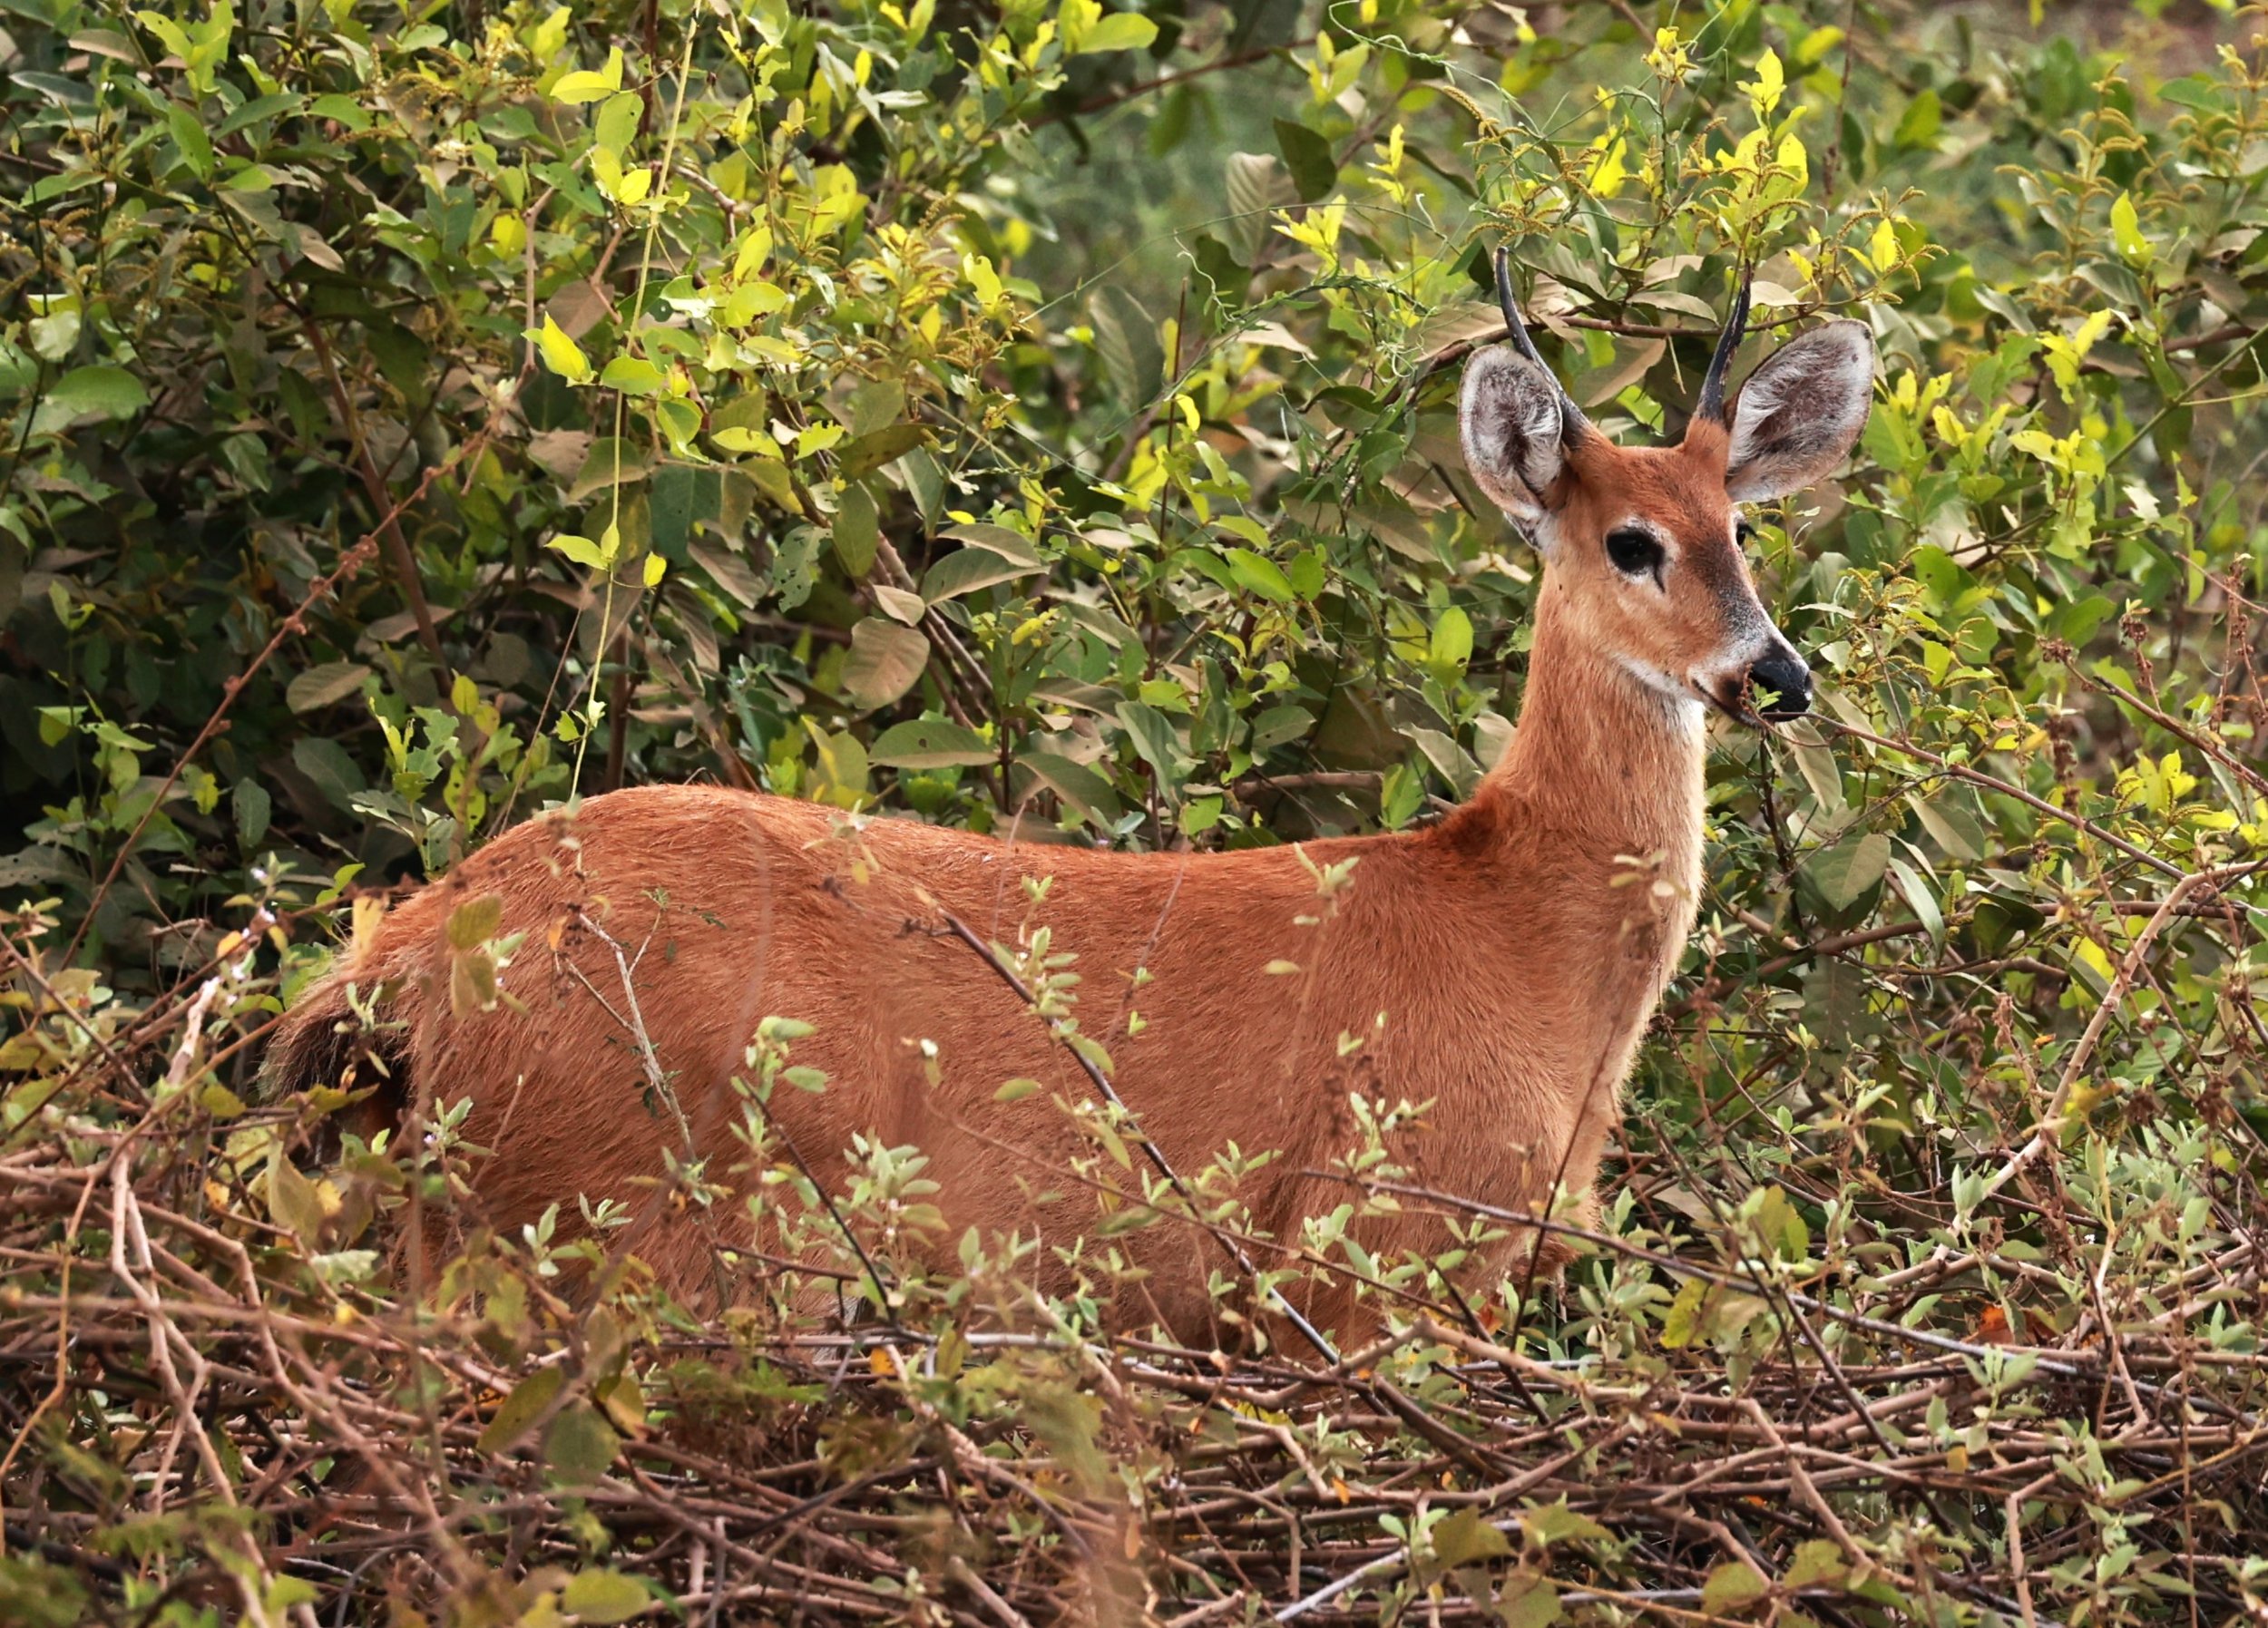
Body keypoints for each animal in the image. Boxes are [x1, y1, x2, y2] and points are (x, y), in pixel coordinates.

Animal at [267, 249, 1876, 1349]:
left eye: (1741, 527)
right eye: (1629, 541)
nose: (1777, 671)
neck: (1526, 941)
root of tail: (406, 958)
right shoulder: (1376, 1242)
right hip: (635, 1217)